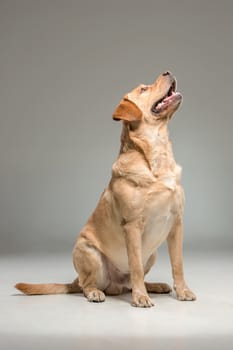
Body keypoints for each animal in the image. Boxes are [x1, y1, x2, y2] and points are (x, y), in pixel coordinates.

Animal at [15, 72, 196, 308]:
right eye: (143, 89)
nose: (167, 72)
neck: (158, 155)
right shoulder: (132, 226)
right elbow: (136, 267)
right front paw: (140, 298)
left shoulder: (176, 223)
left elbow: (178, 264)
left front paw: (182, 291)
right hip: (89, 253)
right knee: (89, 284)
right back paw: (97, 292)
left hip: (152, 255)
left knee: (128, 283)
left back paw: (154, 286)